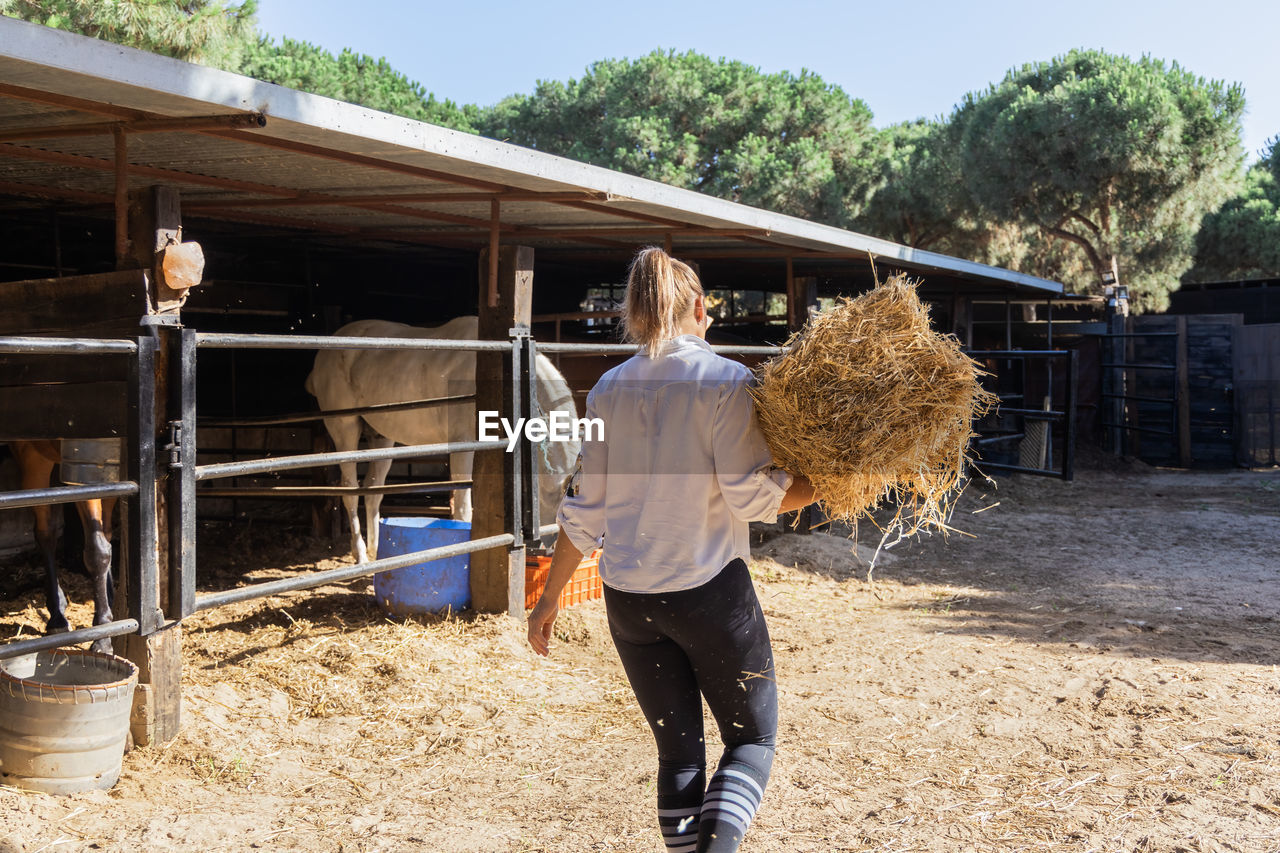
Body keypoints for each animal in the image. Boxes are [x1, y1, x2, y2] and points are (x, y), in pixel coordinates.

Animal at [304, 315, 581, 560]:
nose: (548, 546)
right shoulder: (463, 447)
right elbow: (463, 509)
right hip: (345, 430)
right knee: (350, 490)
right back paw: (361, 555)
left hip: (381, 438)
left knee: (373, 489)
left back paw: (375, 553)